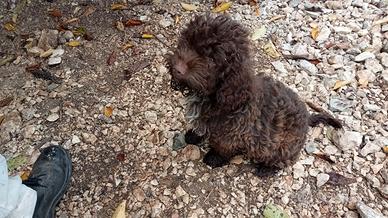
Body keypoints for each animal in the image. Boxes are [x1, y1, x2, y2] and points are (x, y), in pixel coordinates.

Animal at [167, 14, 342, 176]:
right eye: (187, 42)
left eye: (212, 59)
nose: (178, 68)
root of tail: (307, 119)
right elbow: (200, 129)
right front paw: (193, 136)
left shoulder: (232, 132)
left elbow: (222, 146)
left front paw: (215, 157)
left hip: (282, 148)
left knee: (282, 161)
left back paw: (266, 169)